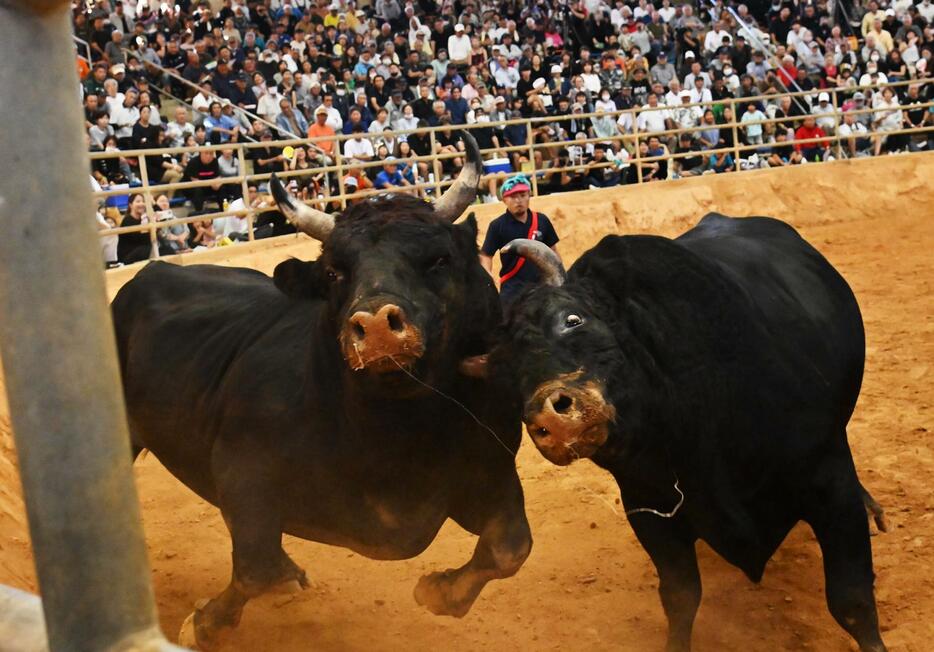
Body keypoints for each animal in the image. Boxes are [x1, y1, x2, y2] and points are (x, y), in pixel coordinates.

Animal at [111, 134, 532, 648]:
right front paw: (203, 625)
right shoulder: (243, 476)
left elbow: (511, 547)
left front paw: (441, 590)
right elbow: (260, 570)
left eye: (437, 259)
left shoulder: (491, 470)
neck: (395, 432)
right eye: (334, 272)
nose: (376, 328)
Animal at [490, 211, 892, 648]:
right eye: (507, 368)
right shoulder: (648, 509)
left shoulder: (829, 482)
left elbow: (851, 600)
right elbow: (681, 597)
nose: (548, 417)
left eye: (573, 319)